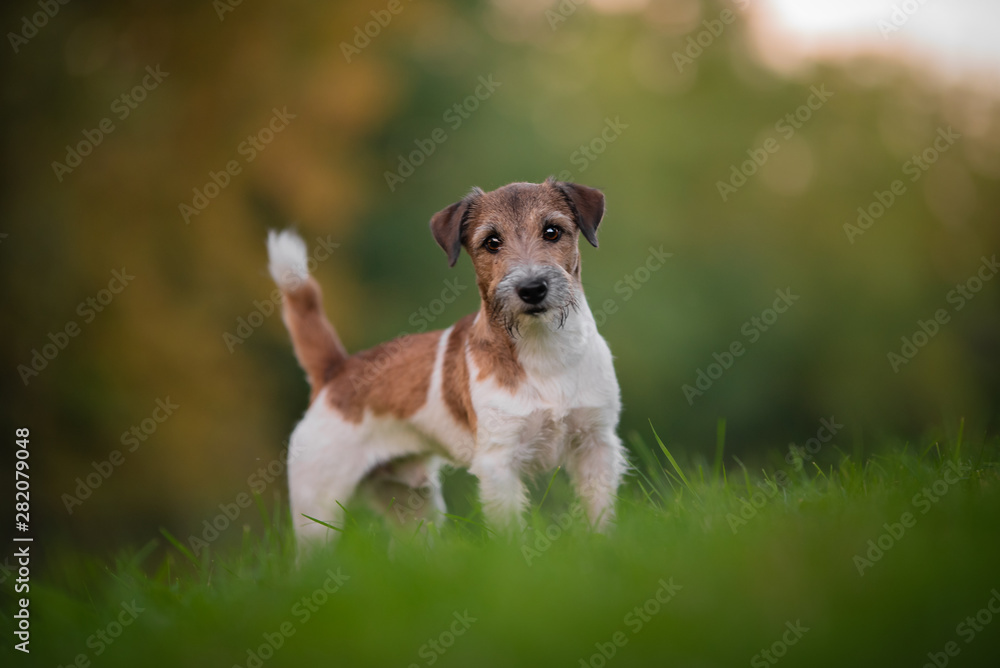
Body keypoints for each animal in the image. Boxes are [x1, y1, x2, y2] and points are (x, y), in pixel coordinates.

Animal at [266, 179, 624, 548]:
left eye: (552, 231)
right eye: (491, 241)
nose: (532, 288)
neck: (546, 355)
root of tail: (335, 369)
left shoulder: (596, 444)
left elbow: (599, 512)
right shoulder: (498, 463)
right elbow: (510, 531)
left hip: (412, 503)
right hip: (318, 511)